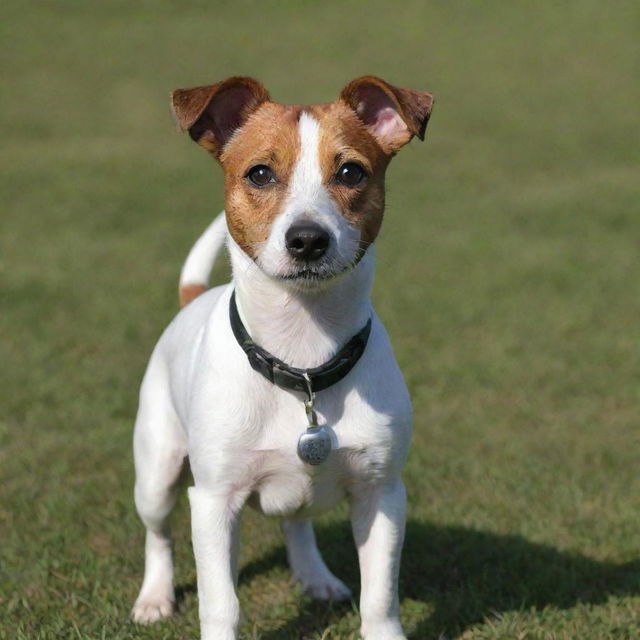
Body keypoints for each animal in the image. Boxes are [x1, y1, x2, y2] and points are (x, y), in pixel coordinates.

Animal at [131, 76, 432, 640]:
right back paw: (155, 597)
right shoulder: (213, 501)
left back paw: (315, 577)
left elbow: (380, 596)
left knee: (297, 523)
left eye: (351, 171)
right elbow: (221, 603)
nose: (308, 239)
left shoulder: (382, 493)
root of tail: (192, 299)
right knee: (158, 535)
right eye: (260, 173)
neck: (304, 362)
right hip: (157, 471)